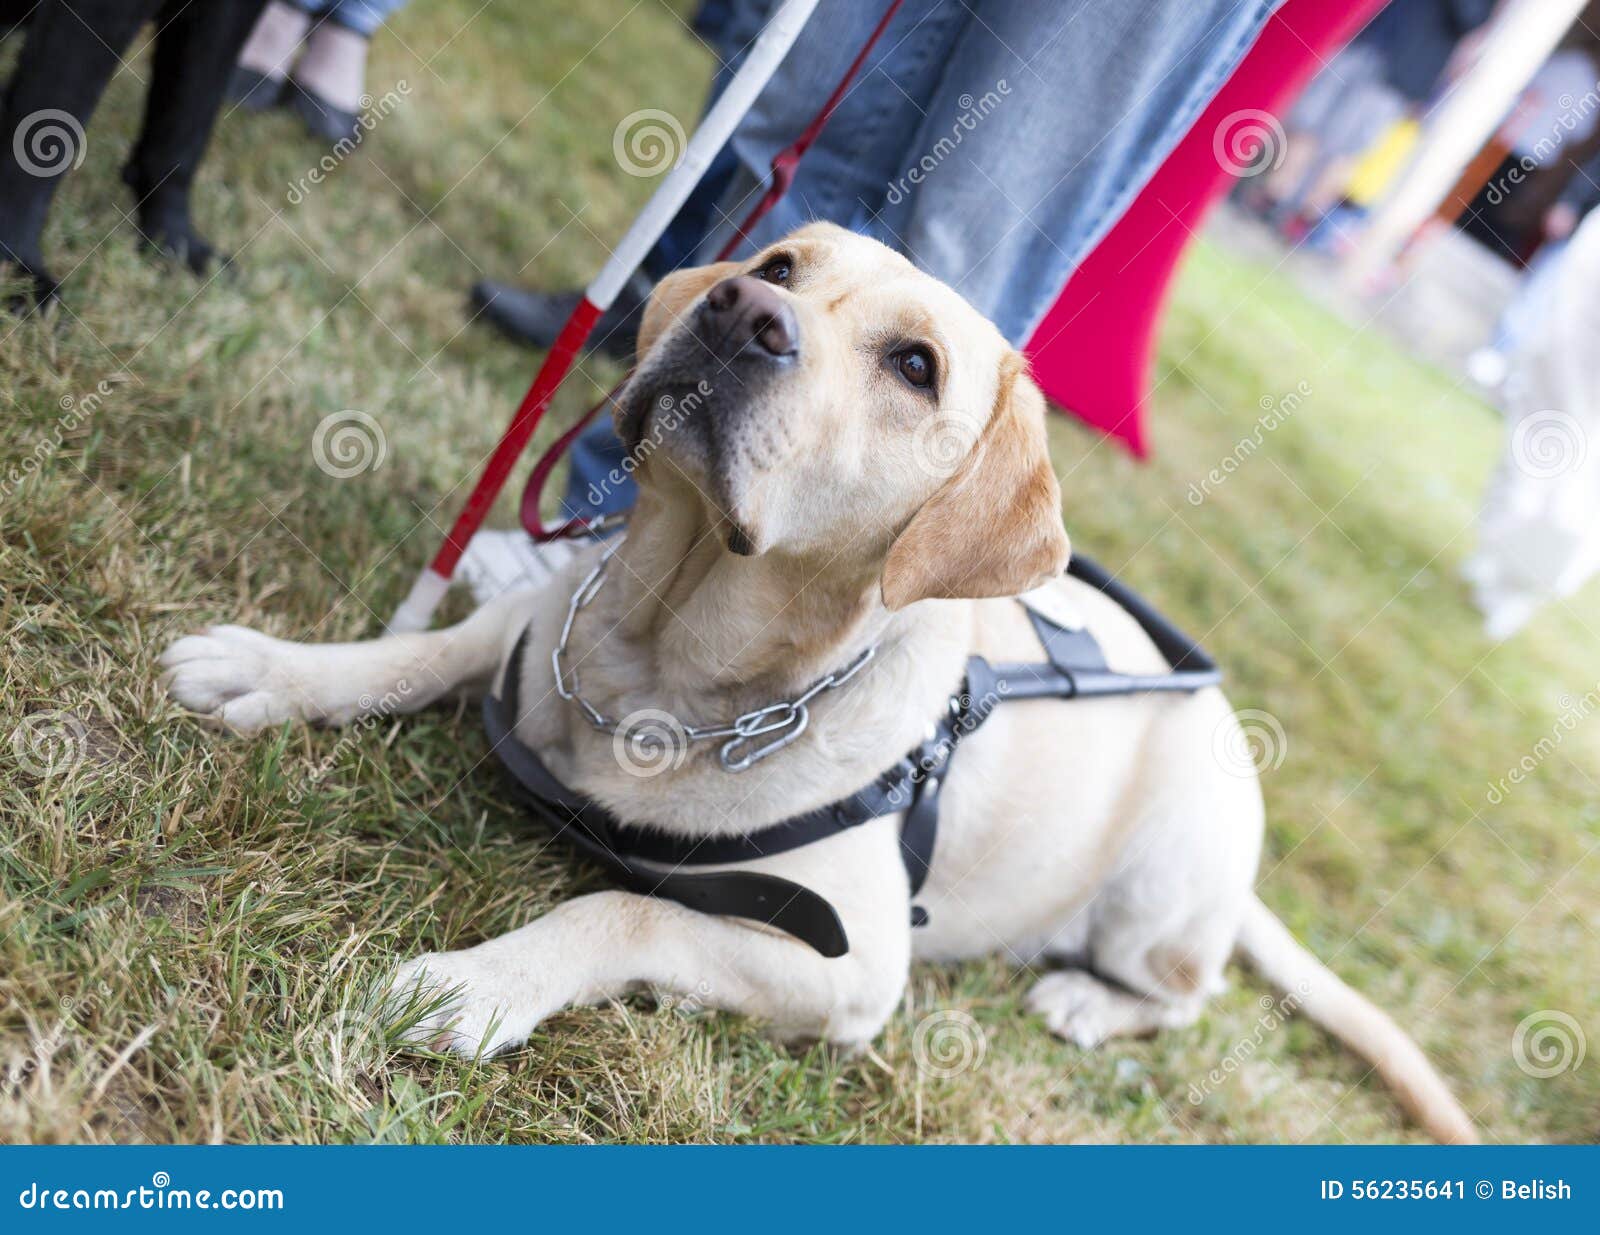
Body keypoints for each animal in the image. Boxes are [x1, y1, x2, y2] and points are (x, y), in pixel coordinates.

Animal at [162, 219, 1472, 1139]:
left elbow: (620, 907)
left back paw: (1088, 1000)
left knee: (1184, 991)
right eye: (780, 261)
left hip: (1163, 891)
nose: (742, 307)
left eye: (915, 364)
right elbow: (420, 648)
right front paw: (271, 668)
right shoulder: (544, 617)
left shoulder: (849, 969)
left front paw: (477, 983)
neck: (669, 661)